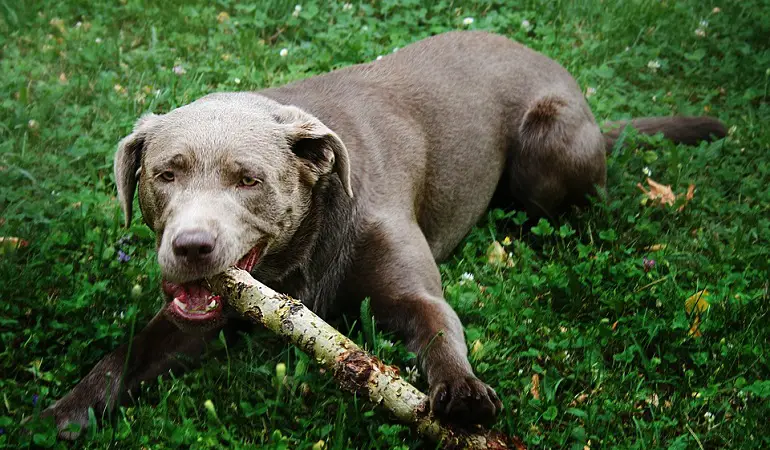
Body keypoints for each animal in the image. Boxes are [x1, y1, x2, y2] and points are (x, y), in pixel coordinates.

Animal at [43, 31, 728, 440]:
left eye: (248, 179)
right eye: (165, 174)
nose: (190, 248)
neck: (301, 258)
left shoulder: (411, 292)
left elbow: (437, 327)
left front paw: (463, 392)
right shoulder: (195, 320)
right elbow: (120, 356)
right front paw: (62, 414)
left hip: (549, 151)